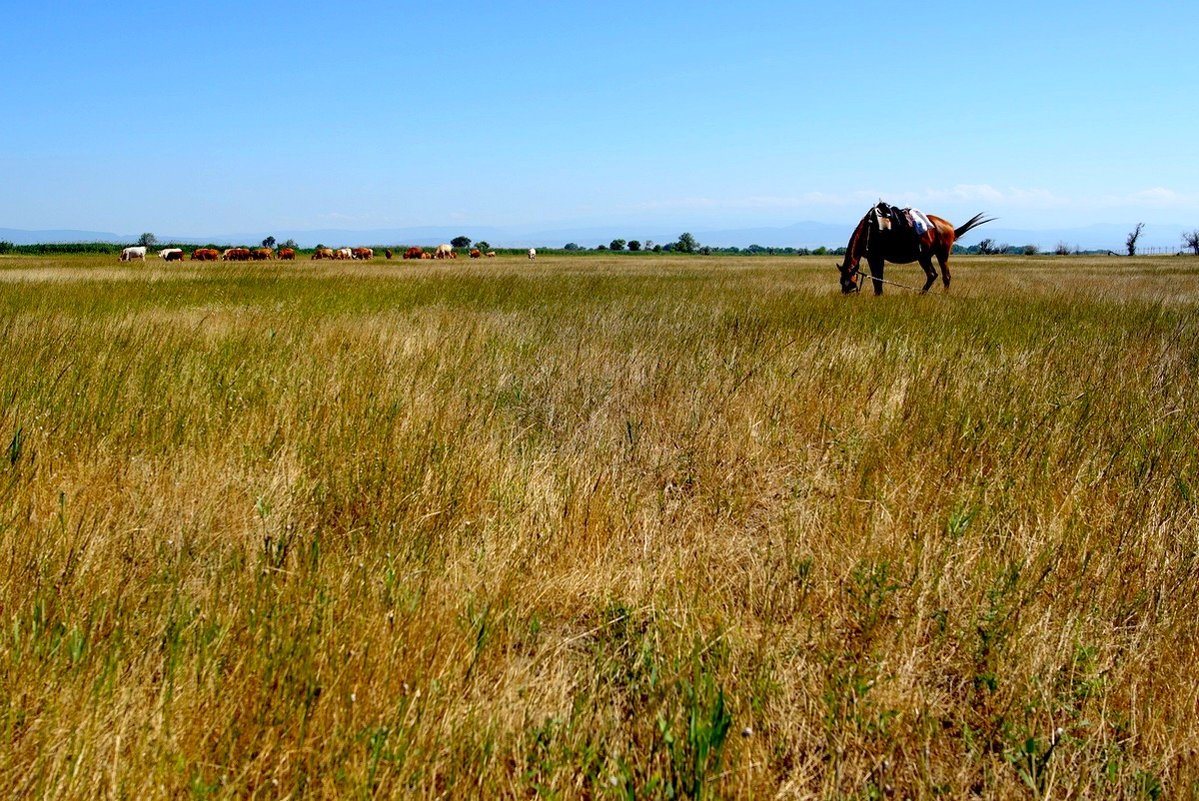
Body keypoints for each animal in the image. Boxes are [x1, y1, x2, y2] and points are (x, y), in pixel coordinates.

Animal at [834, 201, 992, 296]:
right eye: (841, 282)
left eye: (851, 283)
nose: (846, 295)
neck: (868, 230)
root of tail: (951, 228)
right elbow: (878, 278)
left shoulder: (876, 258)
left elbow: (877, 279)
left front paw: (878, 295)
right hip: (925, 257)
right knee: (932, 275)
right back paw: (922, 294)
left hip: (941, 255)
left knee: (945, 276)